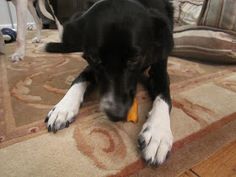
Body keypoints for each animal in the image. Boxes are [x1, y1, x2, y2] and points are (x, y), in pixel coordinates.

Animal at [44, 0, 173, 166]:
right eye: (95, 58)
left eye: (134, 58)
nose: (115, 115)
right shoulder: (90, 64)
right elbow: (79, 78)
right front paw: (63, 107)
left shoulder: (160, 69)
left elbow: (164, 96)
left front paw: (158, 132)